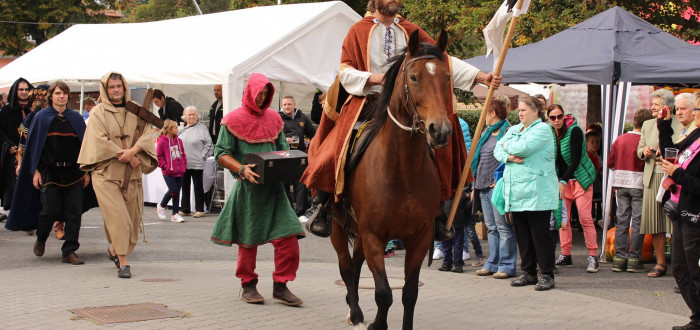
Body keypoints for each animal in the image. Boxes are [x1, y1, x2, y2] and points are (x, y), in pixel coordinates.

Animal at [330, 29, 454, 328]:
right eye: (414, 77)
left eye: (446, 77)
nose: (440, 131)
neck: (403, 171)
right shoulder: (374, 236)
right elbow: (384, 293)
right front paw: (376, 323)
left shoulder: (420, 238)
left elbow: (409, 293)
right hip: (338, 225)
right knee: (346, 266)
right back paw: (355, 312)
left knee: (356, 264)